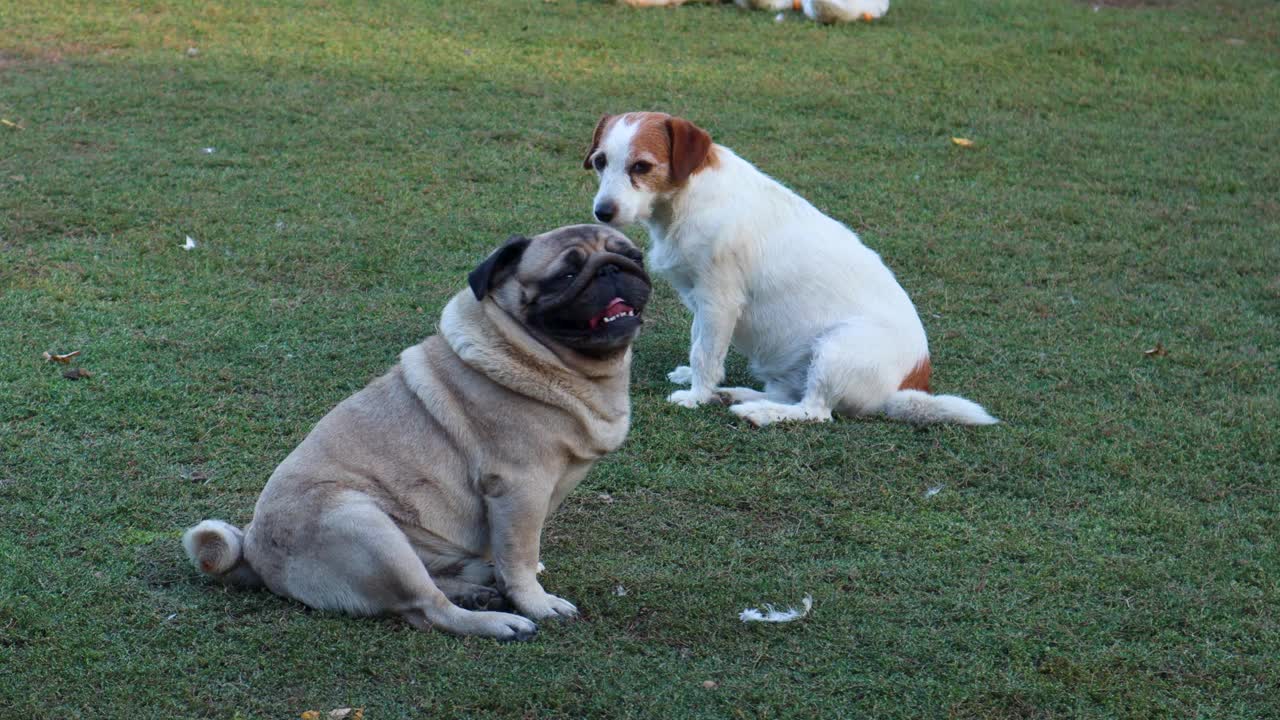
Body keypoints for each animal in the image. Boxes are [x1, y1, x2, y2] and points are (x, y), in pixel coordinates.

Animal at [586, 110, 993, 425]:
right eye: (600, 162)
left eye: (641, 166)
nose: (602, 212)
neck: (689, 197)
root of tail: (909, 384)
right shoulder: (701, 301)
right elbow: (698, 341)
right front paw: (699, 383)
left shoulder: (720, 300)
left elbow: (705, 352)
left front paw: (697, 395)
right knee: (790, 395)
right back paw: (737, 395)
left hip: (836, 349)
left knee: (815, 412)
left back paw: (758, 413)